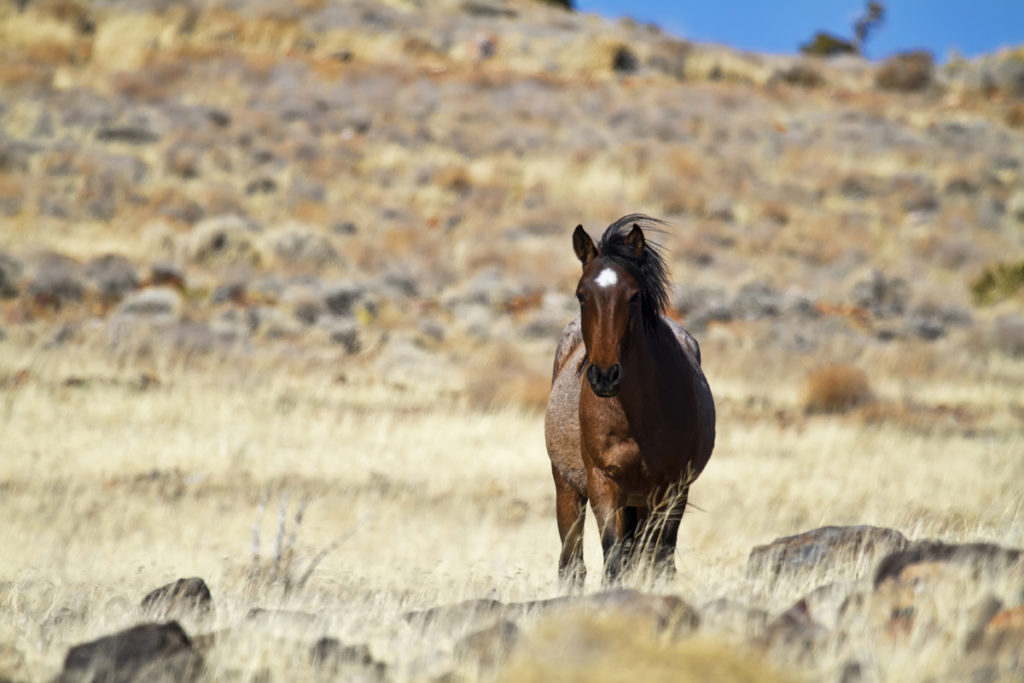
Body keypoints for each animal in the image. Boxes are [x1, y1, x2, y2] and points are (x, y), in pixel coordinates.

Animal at [544, 216, 712, 589]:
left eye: (634, 297)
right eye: (581, 294)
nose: (605, 376)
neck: (634, 415)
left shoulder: (671, 488)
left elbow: (659, 560)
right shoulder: (604, 483)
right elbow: (614, 559)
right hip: (567, 488)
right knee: (572, 563)